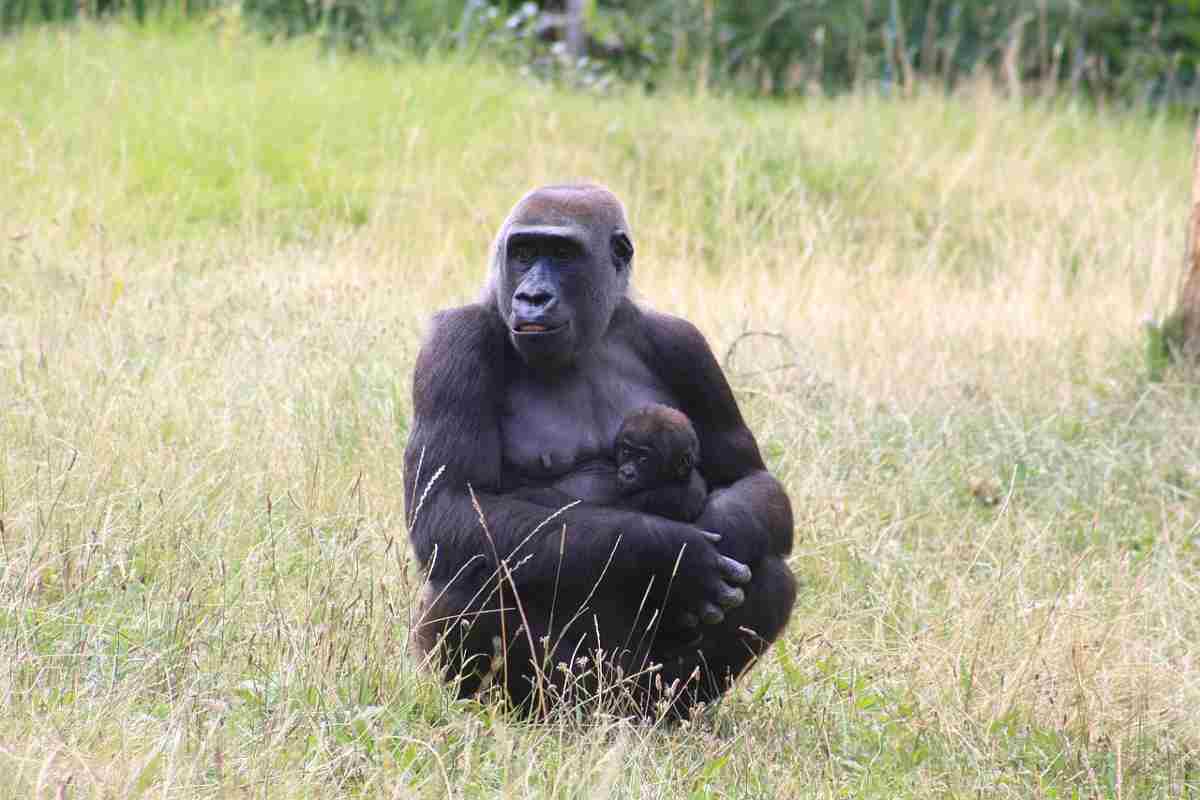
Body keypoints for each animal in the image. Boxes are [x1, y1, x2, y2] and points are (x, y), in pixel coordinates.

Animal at [405, 185, 796, 714]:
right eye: (523, 252)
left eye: (561, 254)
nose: (532, 297)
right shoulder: (453, 342)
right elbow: (450, 506)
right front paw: (674, 555)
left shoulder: (687, 345)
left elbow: (750, 480)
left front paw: (719, 531)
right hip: (568, 688)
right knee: (471, 568)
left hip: (632, 687)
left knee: (770, 568)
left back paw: (671, 715)